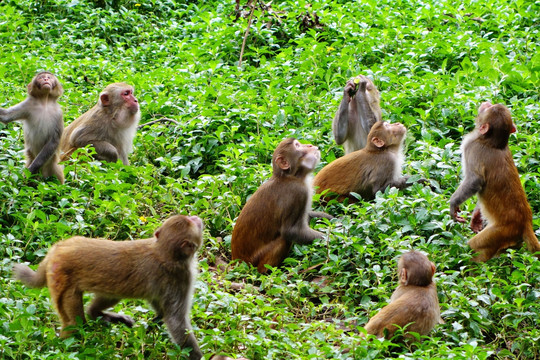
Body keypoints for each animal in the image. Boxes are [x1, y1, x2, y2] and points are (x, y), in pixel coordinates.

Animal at [14, 215, 206, 358]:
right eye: (192, 221)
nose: (196, 217)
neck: (164, 252)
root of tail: (57, 249)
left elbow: (160, 306)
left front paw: (156, 320)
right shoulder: (181, 278)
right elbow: (175, 320)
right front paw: (197, 355)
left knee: (112, 295)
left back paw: (97, 314)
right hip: (61, 279)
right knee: (73, 322)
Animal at [231, 138, 334, 272]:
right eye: (297, 145)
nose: (310, 145)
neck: (289, 176)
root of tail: (237, 263)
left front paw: (333, 219)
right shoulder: (298, 192)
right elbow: (291, 231)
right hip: (254, 263)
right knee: (283, 240)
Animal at [448, 101, 540, 262]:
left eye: (490, 108)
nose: (488, 102)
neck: (493, 143)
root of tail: (526, 222)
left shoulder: (472, 148)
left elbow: (475, 181)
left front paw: (453, 204)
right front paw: (476, 217)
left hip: (501, 232)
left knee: (474, 247)